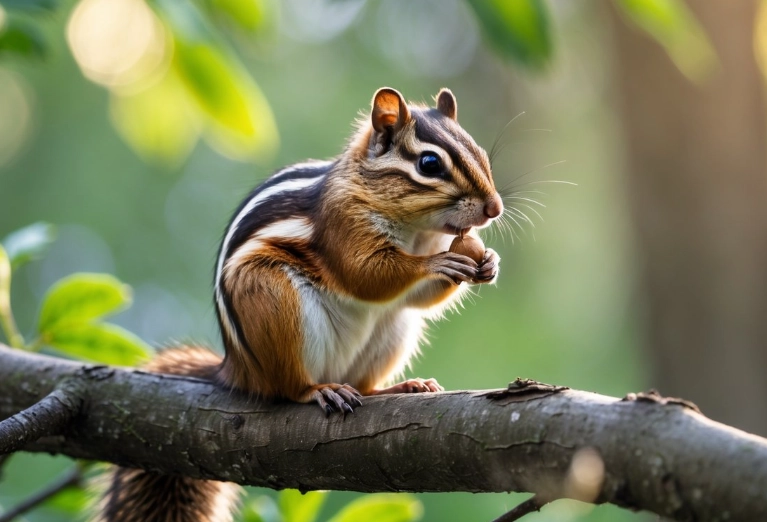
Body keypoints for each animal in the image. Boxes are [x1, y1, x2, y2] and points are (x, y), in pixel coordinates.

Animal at [97, 87, 503, 522]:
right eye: (429, 164)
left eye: (480, 151)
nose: (494, 209)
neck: (416, 231)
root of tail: (239, 371)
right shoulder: (343, 223)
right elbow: (366, 275)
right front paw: (438, 263)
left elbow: (417, 296)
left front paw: (488, 262)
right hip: (275, 302)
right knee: (288, 387)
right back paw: (320, 390)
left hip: (393, 331)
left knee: (367, 381)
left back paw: (403, 386)